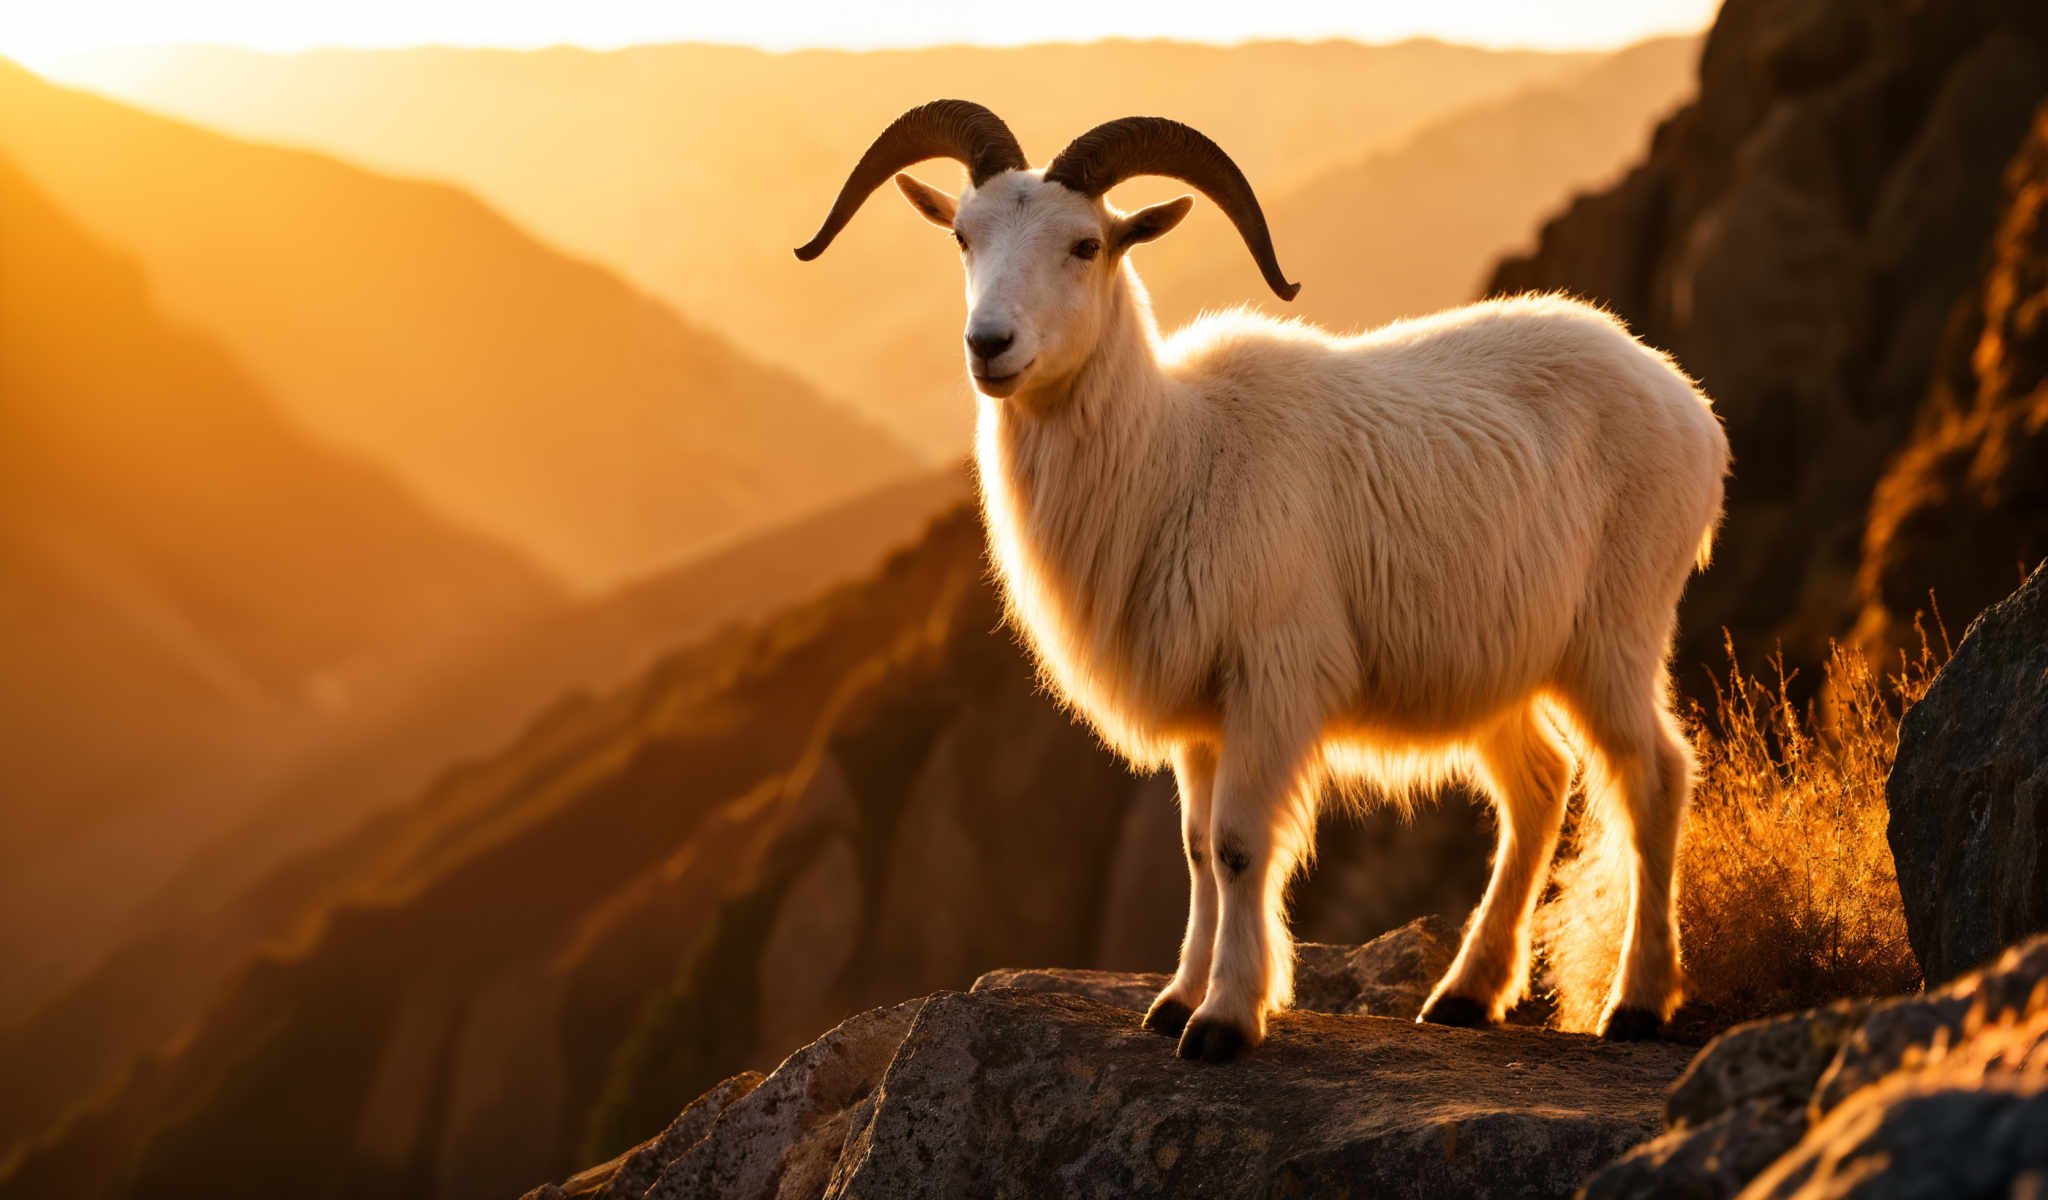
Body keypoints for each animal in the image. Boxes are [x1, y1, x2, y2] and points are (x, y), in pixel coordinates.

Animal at [790, 102, 1720, 1056]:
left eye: (1086, 244)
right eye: (964, 236)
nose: (990, 346)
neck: (1177, 454)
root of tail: (1684, 400)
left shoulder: (1272, 680)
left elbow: (1240, 844)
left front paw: (1226, 1019)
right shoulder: (1203, 713)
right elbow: (1199, 848)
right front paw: (1174, 1000)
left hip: (1614, 638)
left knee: (1654, 778)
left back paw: (1637, 1003)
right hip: (1493, 665)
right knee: (1537, 786)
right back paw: (1466, 992)